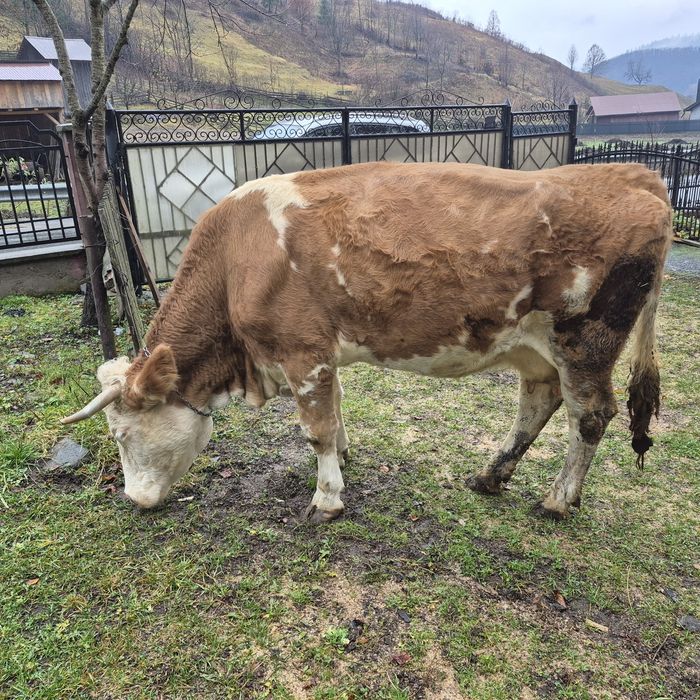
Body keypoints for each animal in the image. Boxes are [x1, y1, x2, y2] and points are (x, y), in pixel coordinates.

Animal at [61, 161, 673, 522]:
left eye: (120, 433)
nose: (134, 498)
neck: (237, 259)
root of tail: (635, 174)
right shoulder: (322, 354)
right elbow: (335, 413)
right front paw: (344, 457)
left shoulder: (302, 351)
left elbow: (315, 430)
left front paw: (327, 498)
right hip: (533, 346)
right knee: (539, 402)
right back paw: (490, 476)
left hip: (585, 341)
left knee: (590, 415)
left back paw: (557, 500)